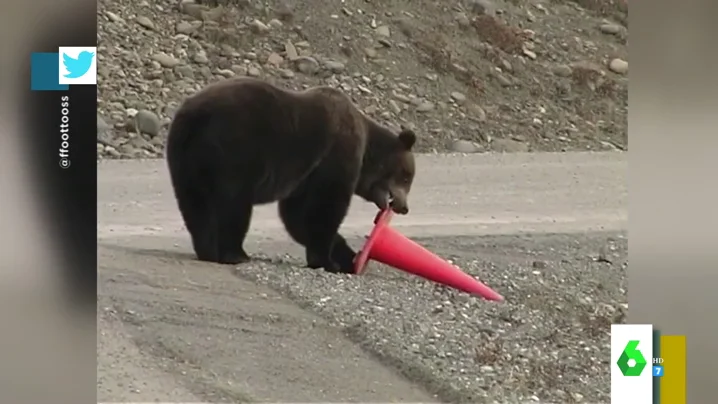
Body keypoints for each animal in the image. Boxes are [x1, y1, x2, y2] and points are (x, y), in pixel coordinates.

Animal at [165, 78, 416, 274]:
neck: (366, 153)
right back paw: (234, 253)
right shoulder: (334, 156)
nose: (404, 207)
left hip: (185, 159)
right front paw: (328, 261)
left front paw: (347, 257)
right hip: (234, 150)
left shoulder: (304, 178)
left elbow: (297, 217)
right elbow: (325, 207)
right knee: (234, 204)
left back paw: (206, 249)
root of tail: (196, 115)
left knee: (194, 204)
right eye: (407, 177)